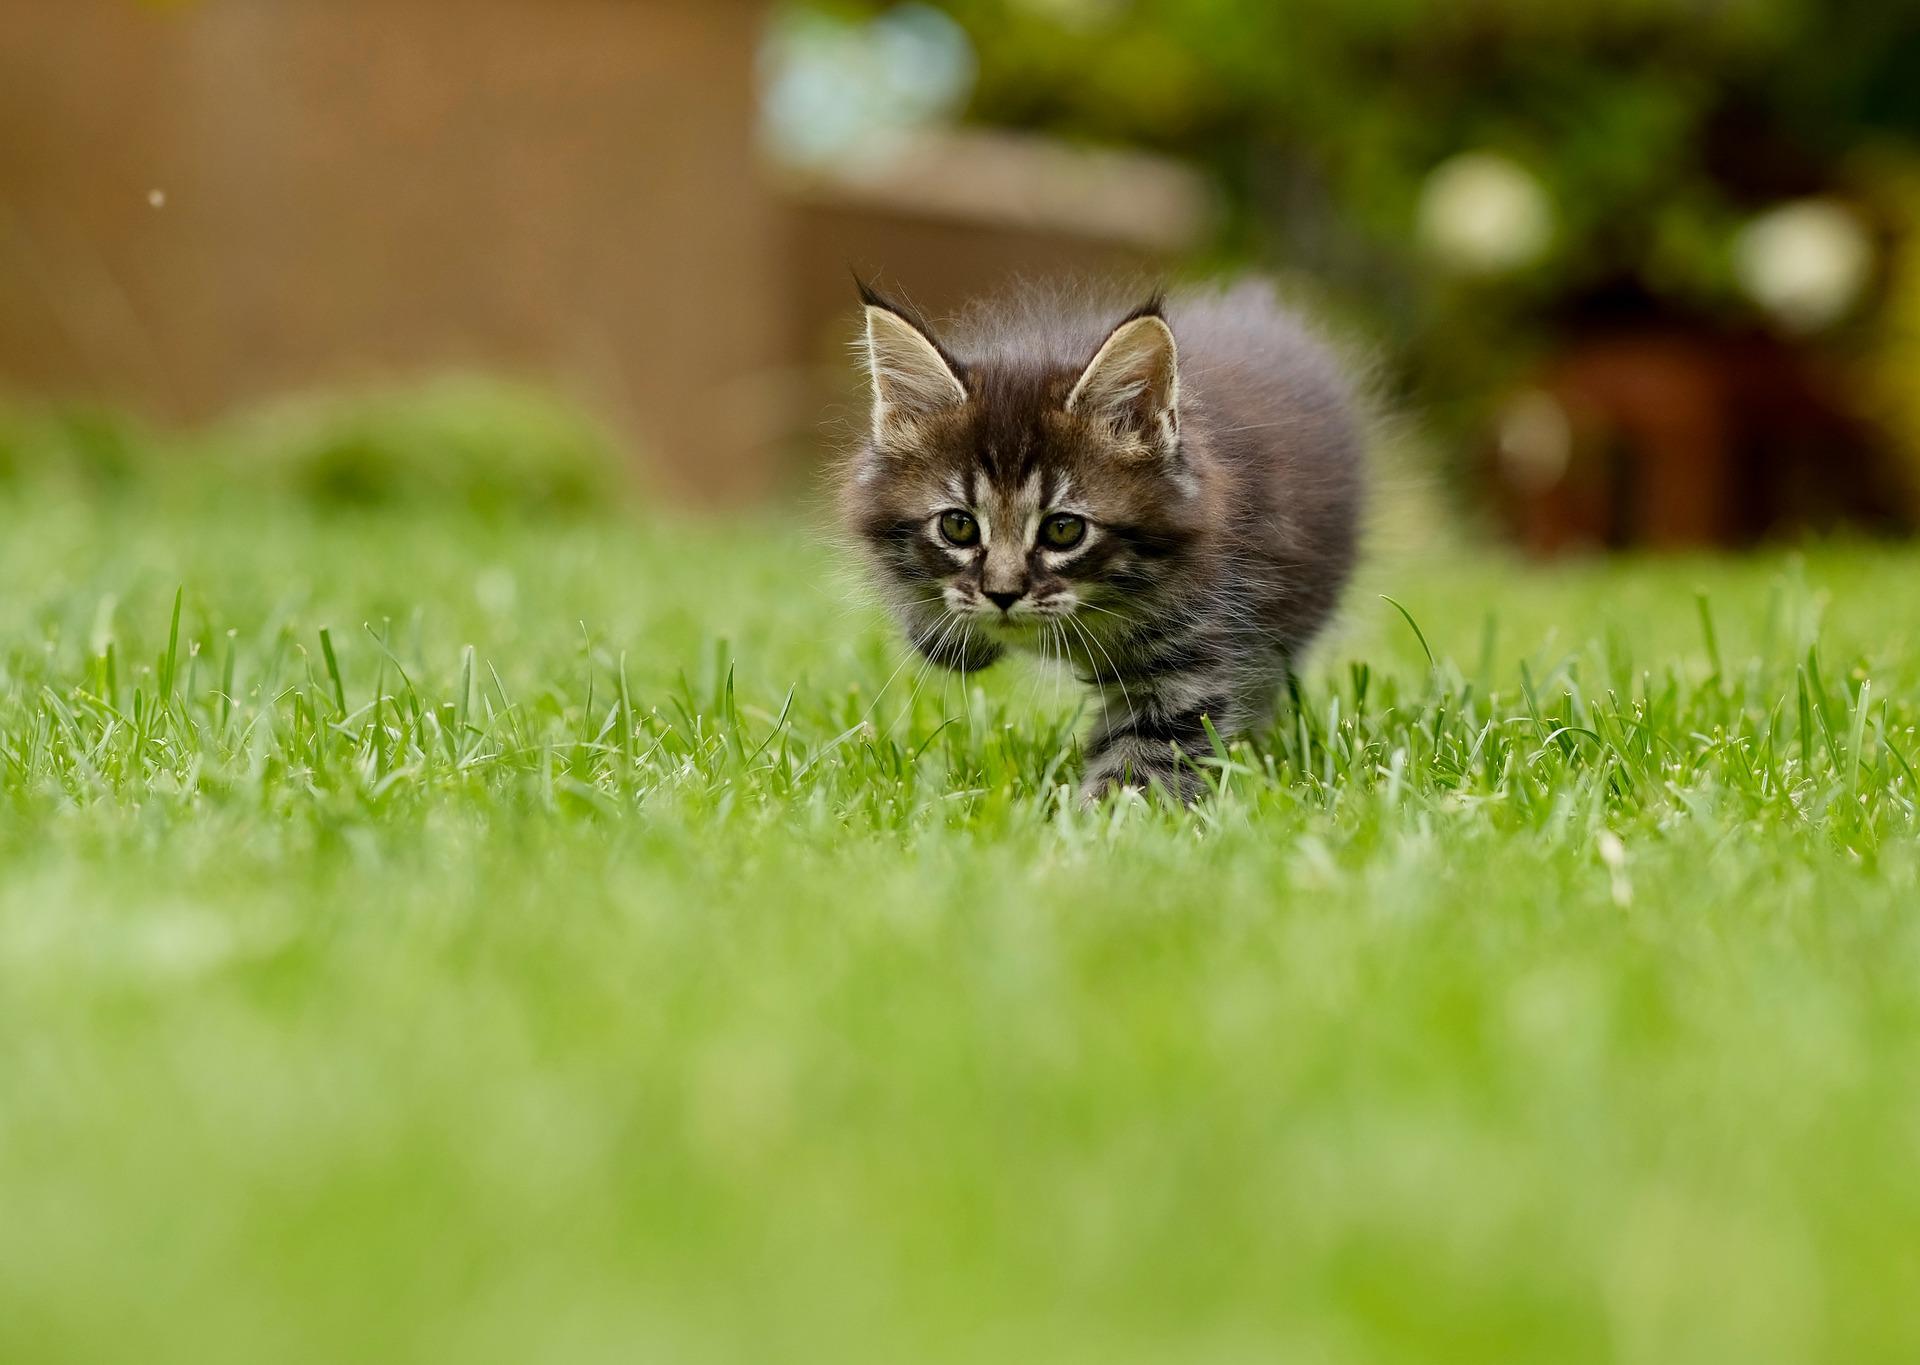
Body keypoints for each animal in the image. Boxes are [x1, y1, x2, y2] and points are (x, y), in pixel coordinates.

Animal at [844, 282, 1367, 806]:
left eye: (1063, 530)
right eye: (958, 526)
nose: (1002, 594)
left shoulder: (1188, 653)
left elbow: (1147, 759)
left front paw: (1103, 818)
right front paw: (951, 638)